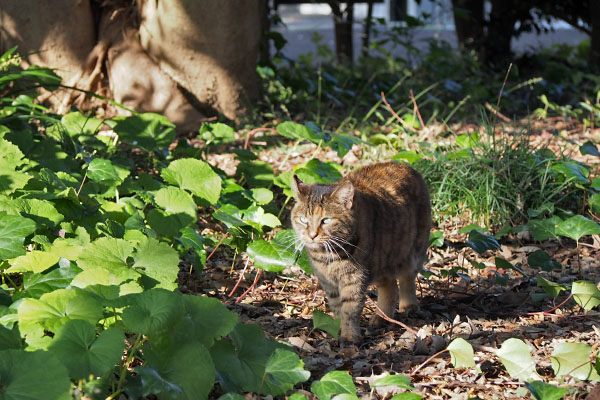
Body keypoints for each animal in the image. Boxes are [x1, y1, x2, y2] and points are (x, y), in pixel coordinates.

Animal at [292, 161, 428, 342]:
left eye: (326, 220)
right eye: (303, 220)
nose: (312, 235)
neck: (327, 256)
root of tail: (404, 165)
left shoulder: (354, 279)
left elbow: (350, 308)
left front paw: (350, 335)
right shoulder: (328, 282)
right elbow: (338, 307)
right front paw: (338, 328)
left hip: (412, 252)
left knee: (407, 278)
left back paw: (408, 305)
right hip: (382, 261)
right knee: (390, 287)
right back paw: (381, 317)